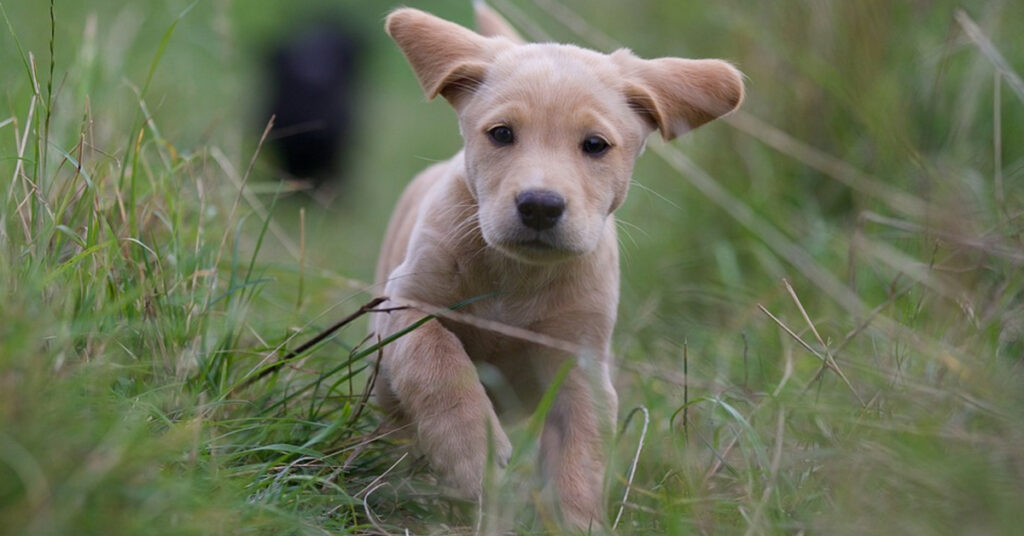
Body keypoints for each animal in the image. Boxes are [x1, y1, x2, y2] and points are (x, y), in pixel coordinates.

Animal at [372, 3, 741, 528]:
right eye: (501, 134)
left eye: (595, 145)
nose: (540, 206)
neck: (516, 275)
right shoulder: (404, 304)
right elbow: (436, 357)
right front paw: (472, 452)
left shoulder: (580, 367)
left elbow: (579, 458)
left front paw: (577, 521)